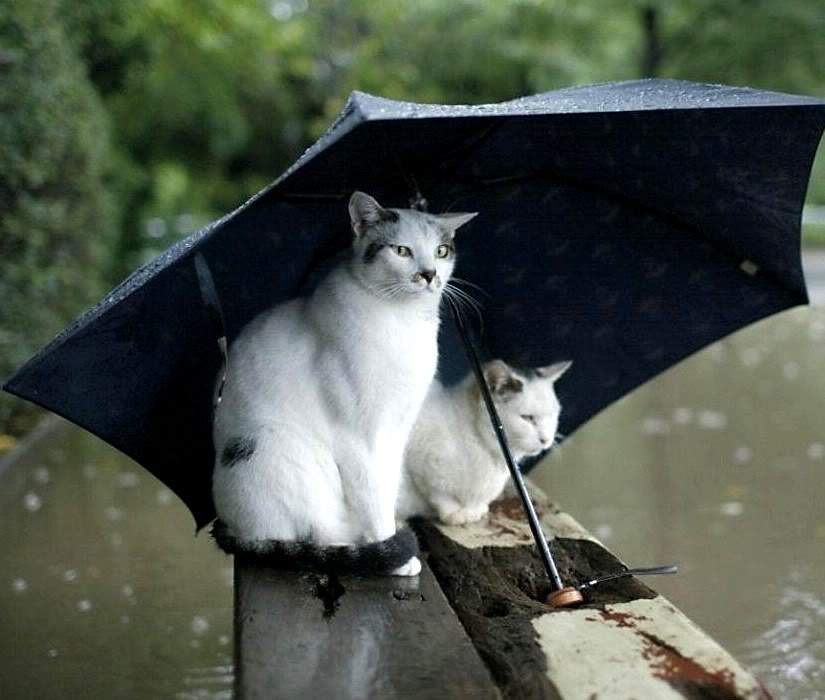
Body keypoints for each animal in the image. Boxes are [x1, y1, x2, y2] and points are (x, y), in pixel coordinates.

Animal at [211, 190, 476, 576]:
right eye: (401, 250)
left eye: (441, 251)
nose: (429, 274)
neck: (404, 321)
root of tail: (231, 526)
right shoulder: (358, 438)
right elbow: (372, 497)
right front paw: (392, 553)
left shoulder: (397, 432)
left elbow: (387, 488)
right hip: (281, 450)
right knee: (310, 536)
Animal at [396, 360, 568, 524]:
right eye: (527, 418)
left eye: (554, 415)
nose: (546, 439)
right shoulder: (419, 463)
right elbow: (439, 495)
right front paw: (454, 513)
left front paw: (474, 510)